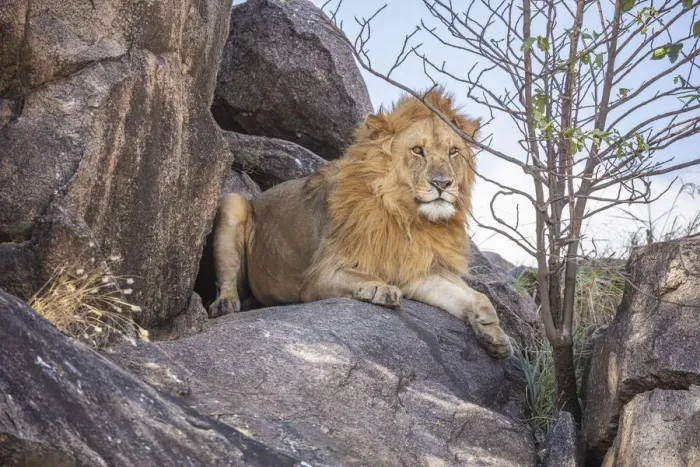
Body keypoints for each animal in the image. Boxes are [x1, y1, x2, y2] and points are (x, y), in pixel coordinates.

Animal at [209, 88, 512, 359]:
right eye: (418, 151)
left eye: (453, 152)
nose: (442, 183)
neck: (406, 218)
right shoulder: (320, 275)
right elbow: (361, 275)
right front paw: (380, 287)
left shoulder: (416, 270)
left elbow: (476, 296)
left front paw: (494, 334)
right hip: (233, 202)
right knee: (226, 278)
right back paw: (225, 304)